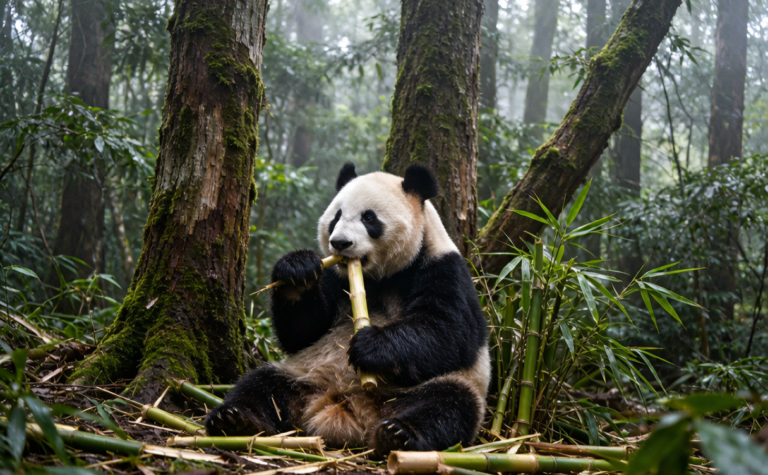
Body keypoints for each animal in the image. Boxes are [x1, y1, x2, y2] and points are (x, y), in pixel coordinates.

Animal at [206, 163, 490, 456]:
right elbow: (302, 332)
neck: (379, 277)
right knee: (261, 385)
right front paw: (296, 270)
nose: (340, 243)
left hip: (444, 386)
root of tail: (347, 411)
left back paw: (398, 435)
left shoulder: (444, 268)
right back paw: (236, 420)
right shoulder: (334, 276)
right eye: (336, 216)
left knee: (448, 405)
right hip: (304, 374)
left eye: (369, 218)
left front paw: (370, 346)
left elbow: (450, 330)